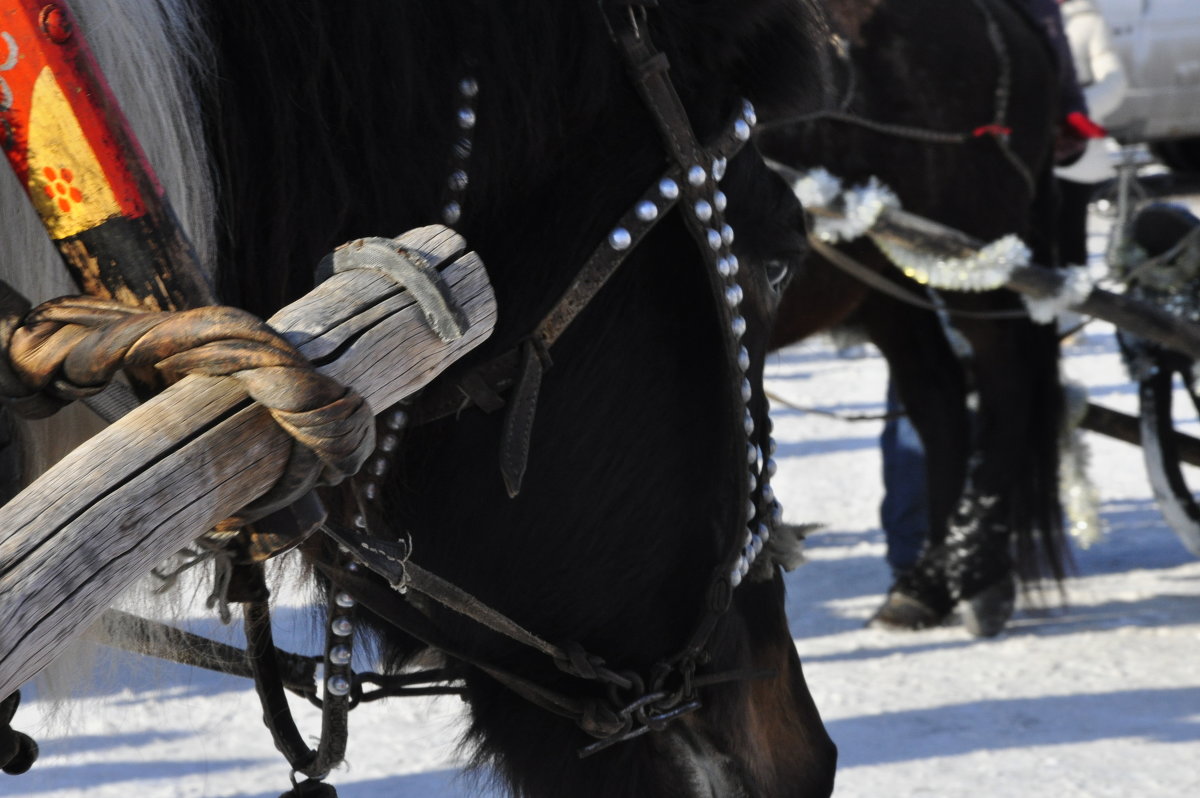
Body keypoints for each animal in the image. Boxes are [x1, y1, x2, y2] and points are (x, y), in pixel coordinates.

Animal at [758, 0, 1070, 633]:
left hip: (972, 254)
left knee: (1005, 382)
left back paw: (968, 565)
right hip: (886, 284)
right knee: (939, 398)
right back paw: (932, 578)